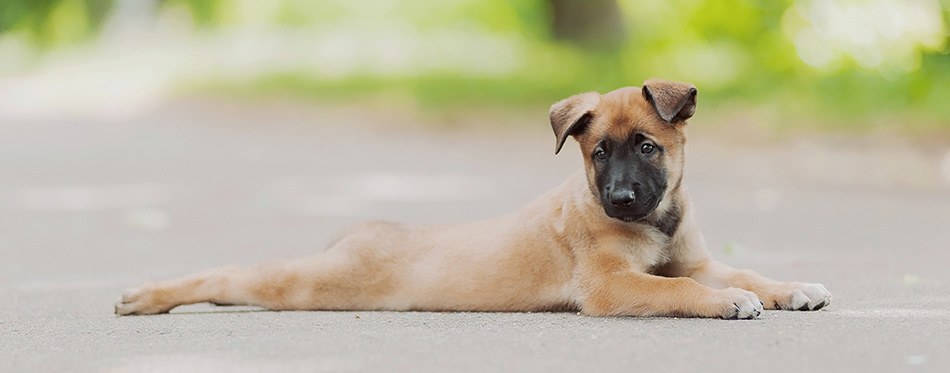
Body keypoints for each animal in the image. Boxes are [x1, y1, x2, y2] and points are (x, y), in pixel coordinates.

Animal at [117, 77, 832, 316]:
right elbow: (679, 288)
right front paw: (728, 303)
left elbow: (745, 272)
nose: (623, 196)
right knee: (231, 275)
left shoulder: (697, 259)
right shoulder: (611, 287)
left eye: (648, 147)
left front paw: (793, 288)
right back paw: (147, 297)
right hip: (312, 283)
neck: (658, 219)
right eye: (598, 153)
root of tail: (364, 232)